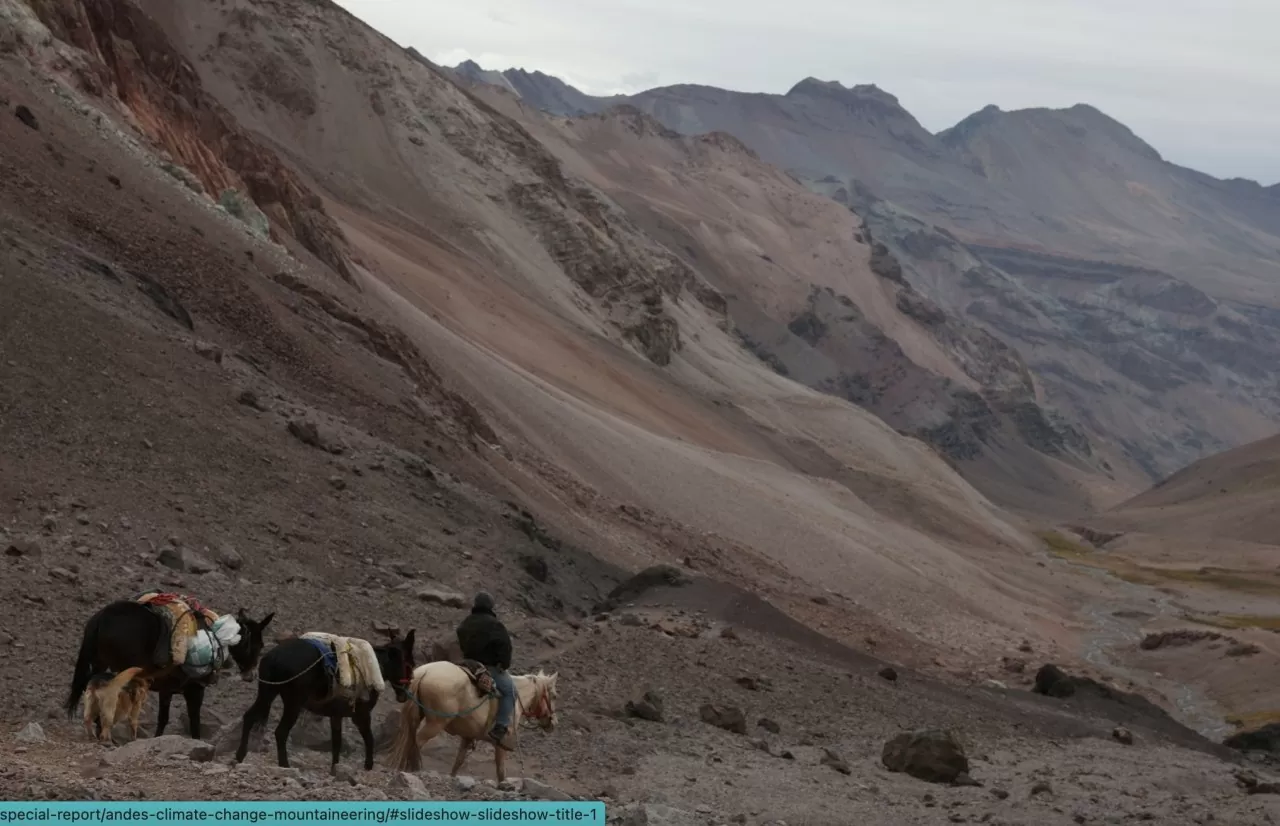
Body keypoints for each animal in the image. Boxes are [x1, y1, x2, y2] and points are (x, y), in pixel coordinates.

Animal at [384, 655, 555, 778]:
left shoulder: (467, 737)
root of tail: (424, 672)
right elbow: (501, 770)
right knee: (416, 743)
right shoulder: (502, 743)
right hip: (435, 724)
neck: (518, 696)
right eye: (553, 695)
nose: (553, 723)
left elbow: (458, 762)